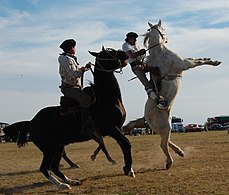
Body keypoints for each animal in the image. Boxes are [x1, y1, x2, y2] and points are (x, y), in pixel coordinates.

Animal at [3, 48, 134, 190]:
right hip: (49, 149)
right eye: (107, 53)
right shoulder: (111, 128)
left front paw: (126, 167)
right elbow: (125, 143)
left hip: (58, 147)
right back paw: (62, 185)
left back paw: (71, 181)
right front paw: (128, 169)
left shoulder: (117, 128)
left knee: (54, 167)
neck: (105, 98)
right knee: (44, 168)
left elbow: (116, 144)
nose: (124, 54)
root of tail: (31, 122)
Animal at [143, 19, 220, 169]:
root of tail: (146, 117)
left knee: (167, 141)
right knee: (163, 144)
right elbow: (198, 61)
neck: (160, 52)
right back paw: (169, 161)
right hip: (165, 126)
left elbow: (196, 58)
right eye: (164, 29)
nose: (167, 38)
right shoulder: (185, 64)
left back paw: (180, 152)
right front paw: (214, 62)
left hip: (166, 124)